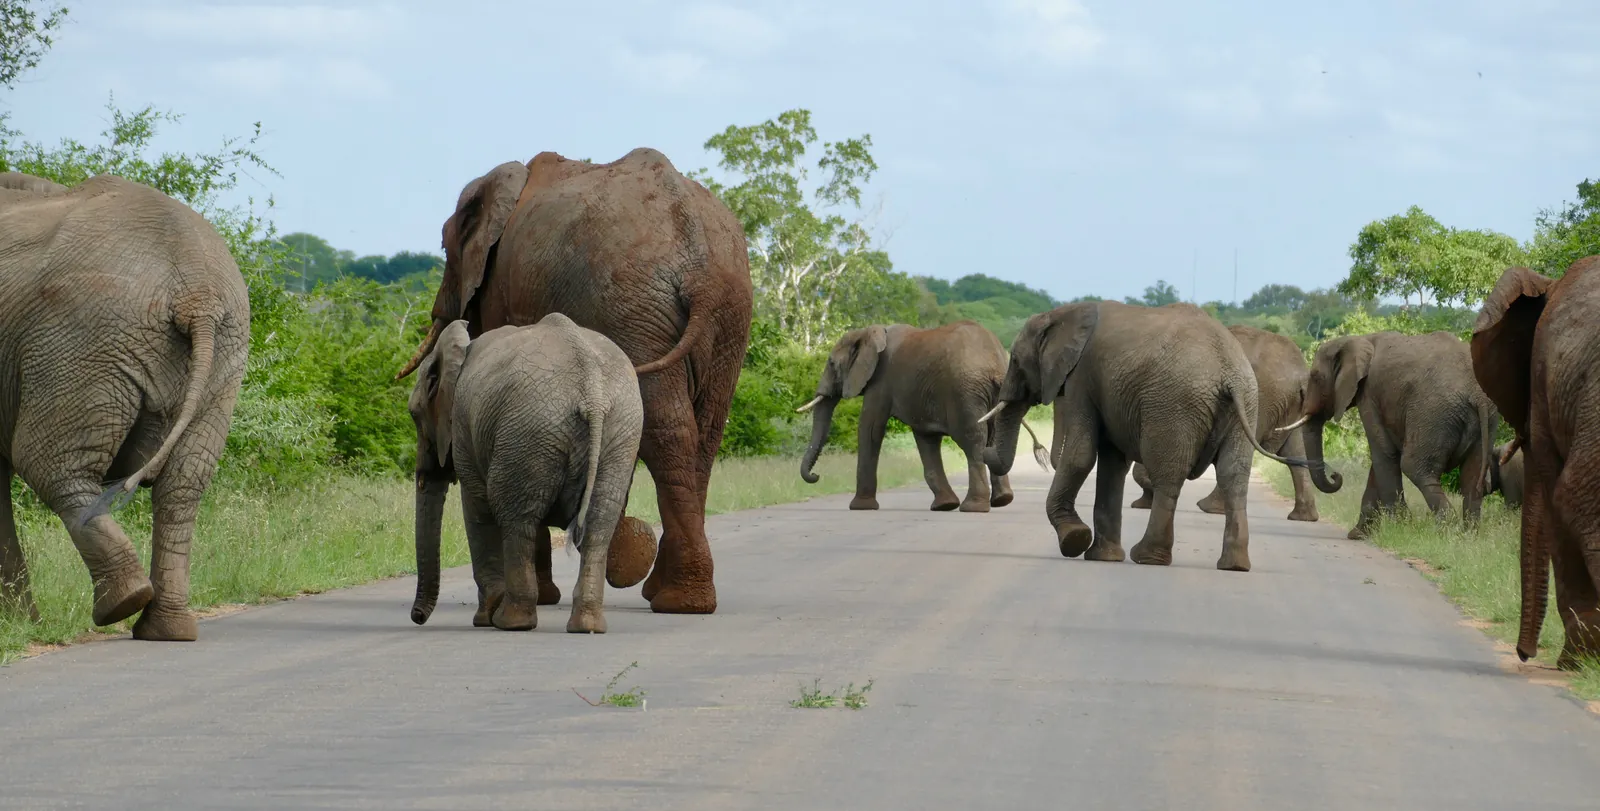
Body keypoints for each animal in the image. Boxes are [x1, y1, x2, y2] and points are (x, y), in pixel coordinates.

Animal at [0, 173, 250, 640]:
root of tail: (197, 292)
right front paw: (21, 626)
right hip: (224, 359)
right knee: (183, 485)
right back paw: (165, 628)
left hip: (81, 338)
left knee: (49, 464)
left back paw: (123, 603)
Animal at [407, 315, 652, 633]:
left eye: (414, 414)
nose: (417, 617)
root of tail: (592, 393)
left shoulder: (462, 424)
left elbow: (476, 511)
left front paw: (483, 620)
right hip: (617, 436)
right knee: (599, 523)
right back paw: (587, 626)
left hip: (530, 431)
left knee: (516, 519)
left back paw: (511, 622)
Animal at [794, 321, 1048, 513]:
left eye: (831, 363)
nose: (816, 475)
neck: (870, 331)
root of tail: (995, 362)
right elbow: (925, 438)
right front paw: (945, 506)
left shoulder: (881, 381)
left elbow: (870, 429)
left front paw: (860, 507)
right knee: (993, 440)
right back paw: (1002, 501)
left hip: (964, 393)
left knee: (973, 441)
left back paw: (973, 507)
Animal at [1128, 324, 1319, 522]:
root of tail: (1301, 373)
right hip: (1292, 404)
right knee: (1295, 453)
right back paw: (1303, 517)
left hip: (1261, 396)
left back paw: (1209, 507)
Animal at [1300, 331, 1496, 540]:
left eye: (1315, 377)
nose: (1336, 475)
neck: (1358, 339)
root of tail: (1476, 394)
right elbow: (1381, 458)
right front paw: (1358, 534)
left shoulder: (1369, 394)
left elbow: (1383, 453)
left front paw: (1400, 527)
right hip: (1485, 420)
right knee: (1472, 477)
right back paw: (1468, 537)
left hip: (1433, 413)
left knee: (1414, 467)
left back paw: (1446, 532)